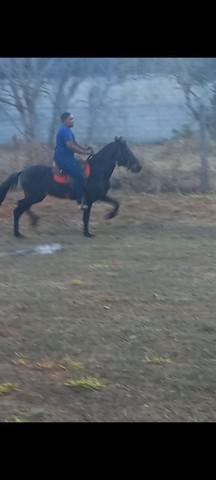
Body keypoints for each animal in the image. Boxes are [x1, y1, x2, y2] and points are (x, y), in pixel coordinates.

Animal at [0, 137, 142, 238]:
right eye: (126, 151)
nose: (139, 167)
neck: (98, 170)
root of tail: (22, 171)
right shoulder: (91, 199)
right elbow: (87, 217)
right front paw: (88, 233)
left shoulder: (100, 196)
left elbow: (116, 203)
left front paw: (109, 216)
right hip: (35, 196)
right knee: (18, 209)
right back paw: (18, 233)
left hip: (35, 196)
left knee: (22, 206)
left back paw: (32, 222)